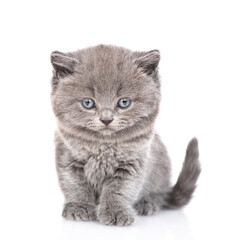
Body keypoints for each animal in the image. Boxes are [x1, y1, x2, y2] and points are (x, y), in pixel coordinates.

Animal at [50, 44, 201, 226]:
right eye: (88, 103)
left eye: (124, 102)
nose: (106, 119)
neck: (103, 145)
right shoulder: (67, 158)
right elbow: (75, 185)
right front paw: (79, 207)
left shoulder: (132, 163)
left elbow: (119, 190)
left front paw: (115, 212)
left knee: (160, 195)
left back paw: (147, 203)